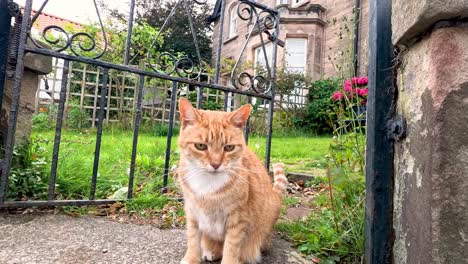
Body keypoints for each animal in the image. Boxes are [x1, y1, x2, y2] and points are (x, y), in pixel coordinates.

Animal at [177, 98, 288, 264]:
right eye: (200, 146)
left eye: (229, 147)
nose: (215, 164)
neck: (207, 183)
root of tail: (275, 195)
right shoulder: (192, 212)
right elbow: (193, 239)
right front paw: (191, 258)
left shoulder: (237, 219)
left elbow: (231, 247)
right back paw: (211, 251)